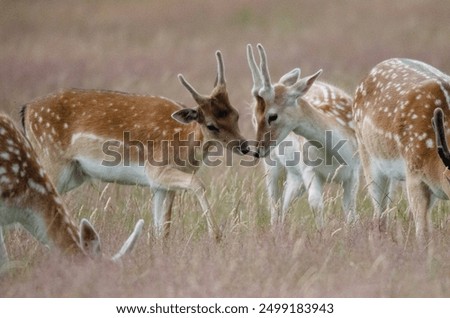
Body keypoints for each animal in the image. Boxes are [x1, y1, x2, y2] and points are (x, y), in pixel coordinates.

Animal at [21, 51, 250, 240]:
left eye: (236, 115)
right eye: (211, 125)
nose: (245, 146)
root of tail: (26, 110)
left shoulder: (159, 185)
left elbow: (162, 229)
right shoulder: (156, 169)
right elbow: (198, 183)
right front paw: (216, 235)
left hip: (73, 174)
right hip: (51, 161)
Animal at [246, 44, 358, 229]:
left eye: (272, 116)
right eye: (255, 115)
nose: (256, 150)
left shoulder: (356, 170)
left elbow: (350, 211)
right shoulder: (308, 169)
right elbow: (315, 204)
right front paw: (322, 233)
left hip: (294, 176)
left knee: (285, 204)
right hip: (273, 165)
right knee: (275, 204)